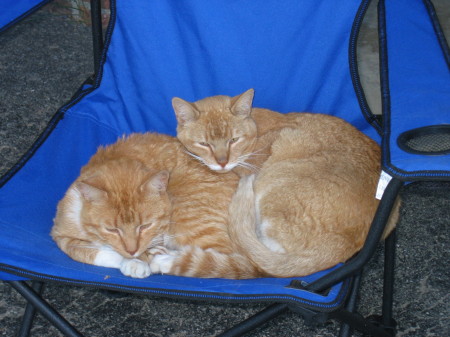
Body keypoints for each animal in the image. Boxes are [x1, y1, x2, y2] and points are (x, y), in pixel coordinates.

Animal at [51, 133, 266, 276]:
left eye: (145, 226)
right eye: (112, 229)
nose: (132, 251)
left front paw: (139, 261)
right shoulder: (61, 236)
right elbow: (92, 252)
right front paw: (134, 261)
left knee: (229, 261)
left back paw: (166, 261)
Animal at [172, 88, 400, 276]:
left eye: (234, 140)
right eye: (204, 143)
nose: (222, 162)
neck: (257, 129)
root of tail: (344, 243)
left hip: (270, 188)